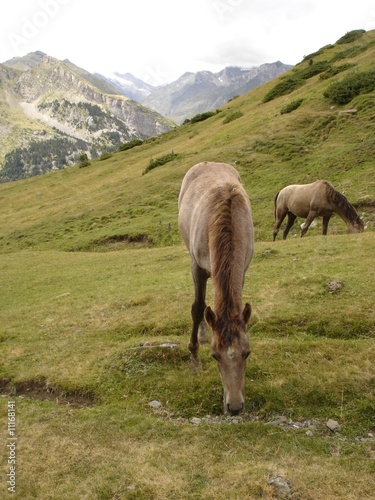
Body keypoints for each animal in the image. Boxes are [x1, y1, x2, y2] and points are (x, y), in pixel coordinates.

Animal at [179, 163, 256, 414]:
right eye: (214, 356)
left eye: (247, 353)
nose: (234, 407)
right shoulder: (197, 267)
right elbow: (197, 308)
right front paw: (194, 358)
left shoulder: (242, 270)